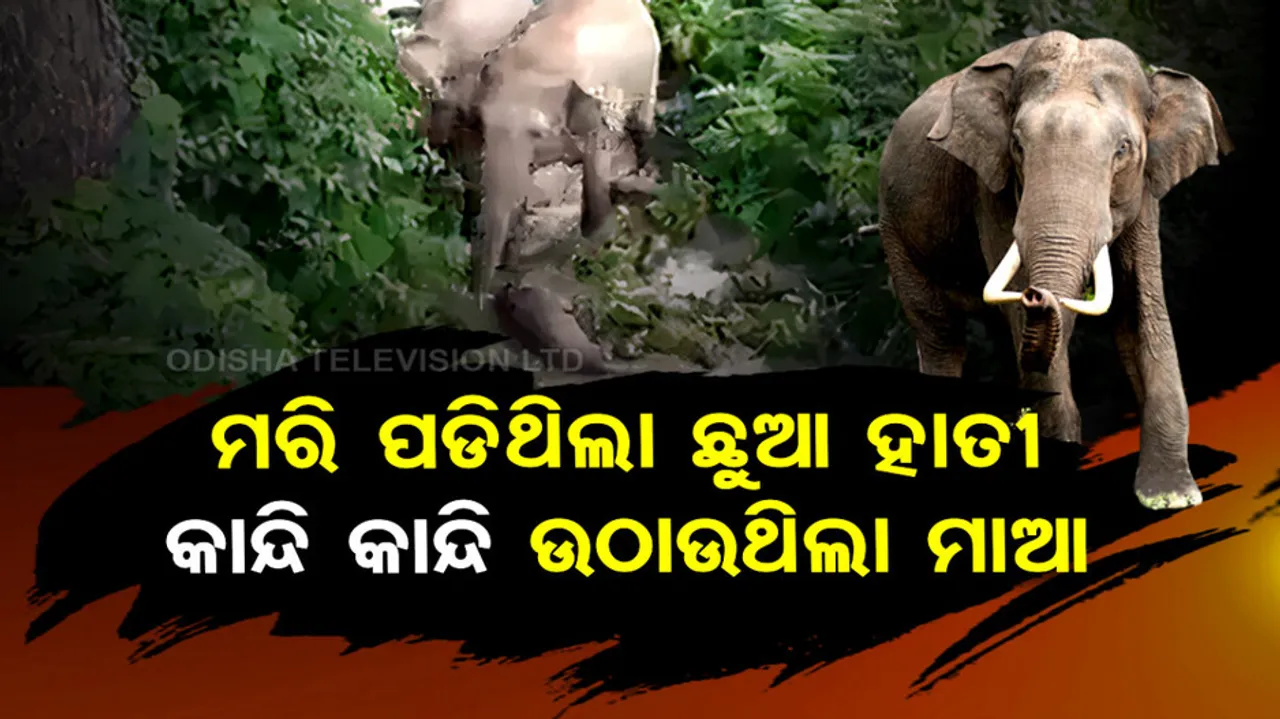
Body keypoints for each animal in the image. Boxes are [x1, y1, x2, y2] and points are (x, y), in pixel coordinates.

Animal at [876, 31, 1232, 510]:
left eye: (1123, 149)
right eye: (1017, 146)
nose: (1037, 294)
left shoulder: (1144, 193)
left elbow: (1141, 310)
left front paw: (1172, 498)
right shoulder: (991, 189)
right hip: (895, 230)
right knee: (940, 336)